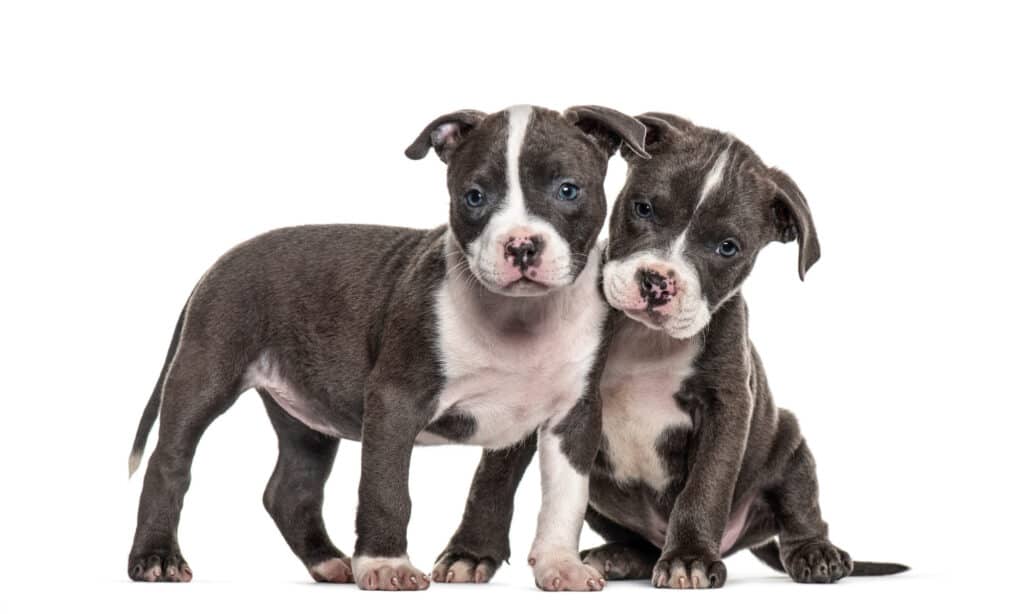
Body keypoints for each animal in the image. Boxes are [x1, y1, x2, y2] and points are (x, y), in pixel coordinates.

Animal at [123, 104, 643, 589]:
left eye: (568, 190)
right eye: (474, 197)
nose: (521, 246)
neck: (521, 317)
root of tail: (222, 260)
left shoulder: (573, 415)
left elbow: (559, 498)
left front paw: (561, 566)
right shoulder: (396, 400)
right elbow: (386, 488)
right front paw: (385, 564)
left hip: (304, 417)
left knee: (291, 489)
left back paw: (328, 561)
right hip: (206, 368)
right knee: (170, 461)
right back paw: (157, 558)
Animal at [436, 112, 909, 589]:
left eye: (727, 247)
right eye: (643, 208)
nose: (657, 282)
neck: (648, 338)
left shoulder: (726, 407)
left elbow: (706, 484)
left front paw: (689, 558)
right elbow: (493, 478)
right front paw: (472, 551)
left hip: (790, 444)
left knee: (802, 511)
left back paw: (816, 553)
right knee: (640, 543)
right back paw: (619, 556)